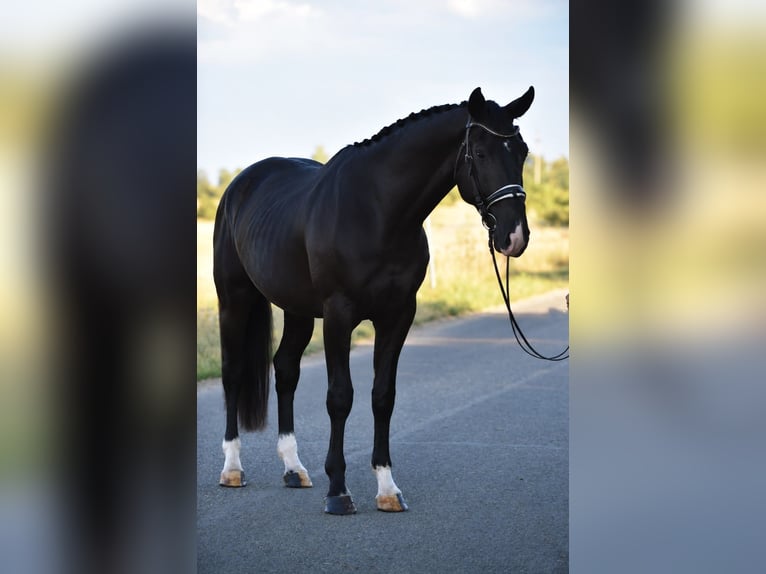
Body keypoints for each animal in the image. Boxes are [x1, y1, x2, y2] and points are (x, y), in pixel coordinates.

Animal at [213, 86, 535, 514]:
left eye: (522, 151)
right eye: (480, 153)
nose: (514, 236)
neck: (378, 213)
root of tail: (239, 185)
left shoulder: (398, 315)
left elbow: (383, 396)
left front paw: (387, 489)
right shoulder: (338, 315)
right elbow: (340, 397)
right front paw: (338, 491)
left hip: (297, 310)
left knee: (285, 371)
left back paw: (294, 468)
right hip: (234, 298)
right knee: (232, 372)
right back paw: (232, 469)